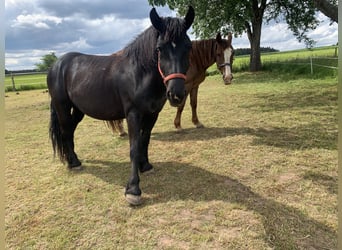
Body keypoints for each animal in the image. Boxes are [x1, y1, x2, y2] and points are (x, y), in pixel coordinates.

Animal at [47, 6, 195, 205]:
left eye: (188, 47)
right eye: (159, 48)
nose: (176, 94)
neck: (139, 73)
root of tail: (57, 65)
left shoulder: (152, 114)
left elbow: (144, 140)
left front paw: (145, 166)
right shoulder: (133, 114)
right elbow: (133, 147)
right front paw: (133, 189)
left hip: (78, 110)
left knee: (69, 131)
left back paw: (74, 160)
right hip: (62, 107)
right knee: (64, 132)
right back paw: (74, 163)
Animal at [107, 32, 235, 136]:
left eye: (232, 54)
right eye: (219, 54)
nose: (228, 78)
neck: (194, 59)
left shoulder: (195, 85)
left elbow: (194, 104)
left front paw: (197, 123)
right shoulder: (185, 87)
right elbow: (181, 105)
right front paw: (178, 126)